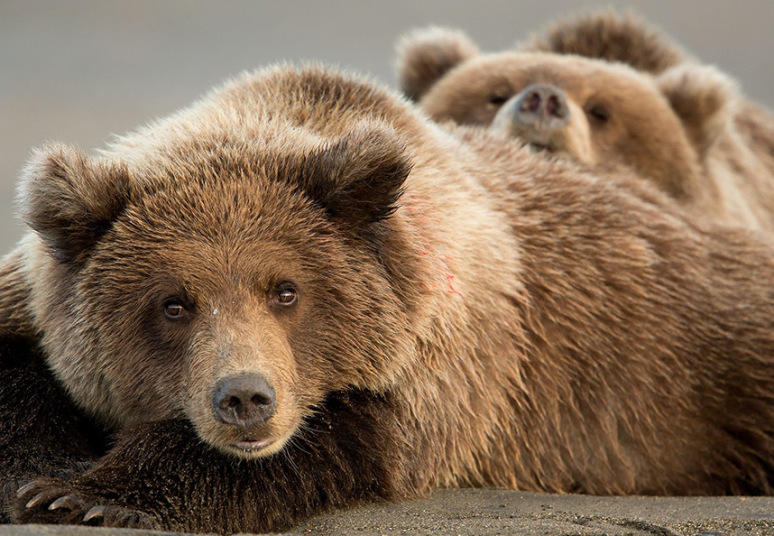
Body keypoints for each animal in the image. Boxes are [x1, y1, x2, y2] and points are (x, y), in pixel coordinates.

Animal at [1, 62, 774, 532]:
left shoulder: (446, 358)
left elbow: (343, 437)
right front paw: (47, 478)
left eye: (286, 290)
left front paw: (93, 496)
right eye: (173, 302)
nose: (245, 397)